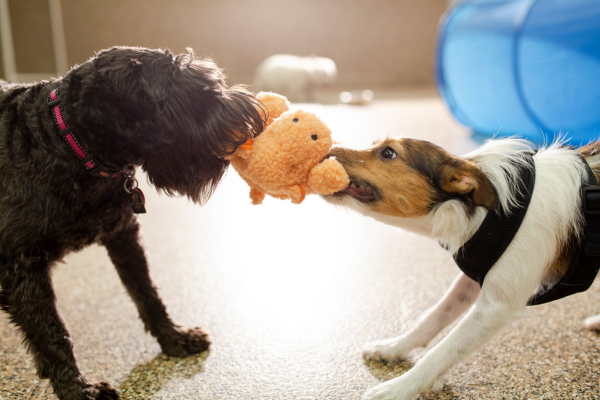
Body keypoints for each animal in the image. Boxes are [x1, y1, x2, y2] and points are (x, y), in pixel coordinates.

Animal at [0, 47, 264, 400]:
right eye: (193, 96)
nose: (251, 116)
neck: (66, 144)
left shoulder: (123, 235)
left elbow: (147, 293)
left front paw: (174, 338)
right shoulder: (23, 268)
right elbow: (52, 333)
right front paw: (79, 389)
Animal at [326, 137, 600, 400]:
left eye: (388, 152)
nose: (327, 149)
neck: (485, 212)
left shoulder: (497, 308)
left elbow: (442, 351)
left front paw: (398, 388)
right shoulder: (473, 275)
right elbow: (434, 317)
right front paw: (394, 347)